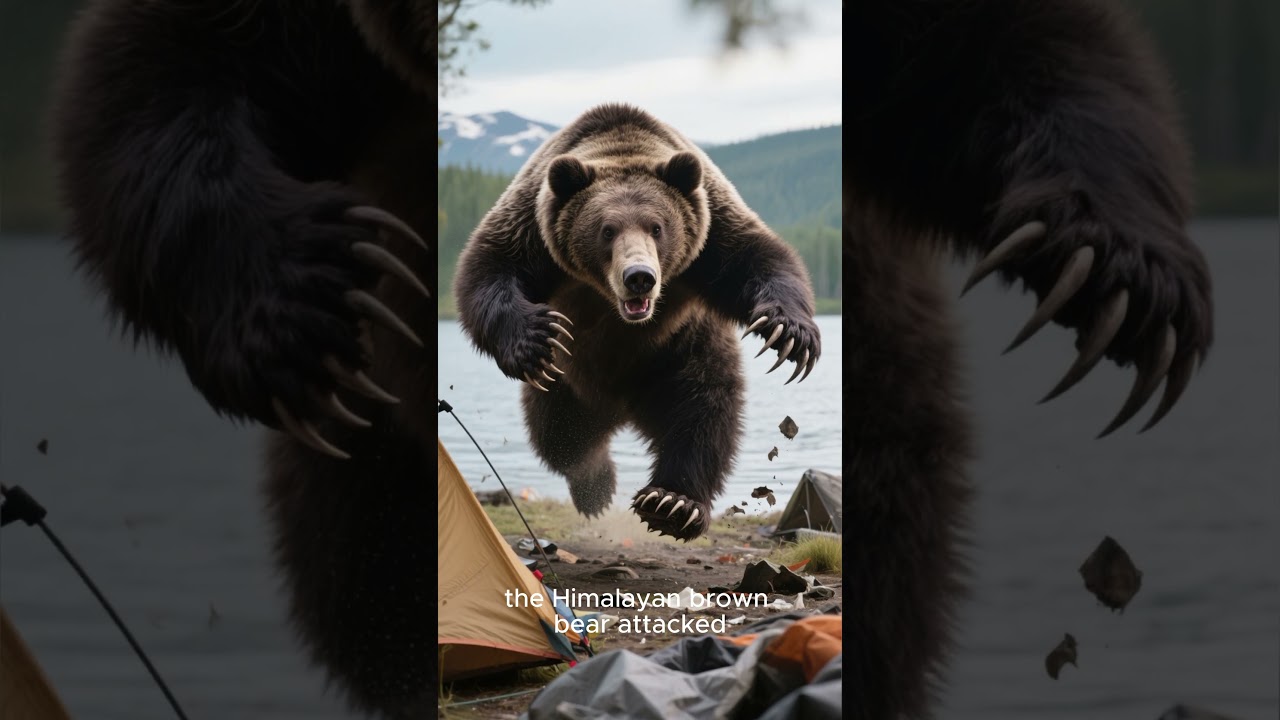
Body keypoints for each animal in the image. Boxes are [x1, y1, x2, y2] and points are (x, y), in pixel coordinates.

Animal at [453, 103, 821, 541]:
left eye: (657, 227)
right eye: (606, 230)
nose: (639, 276)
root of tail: (624, 409)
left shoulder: (711, 234)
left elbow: (761, 258)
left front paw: (789, 334)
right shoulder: (534, 228)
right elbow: (488, 269)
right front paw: (535, 338)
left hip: (680, 354)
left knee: (704, 409)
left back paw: (673, 502)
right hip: (568, 382)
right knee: (560, 434)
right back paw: (598, 488)